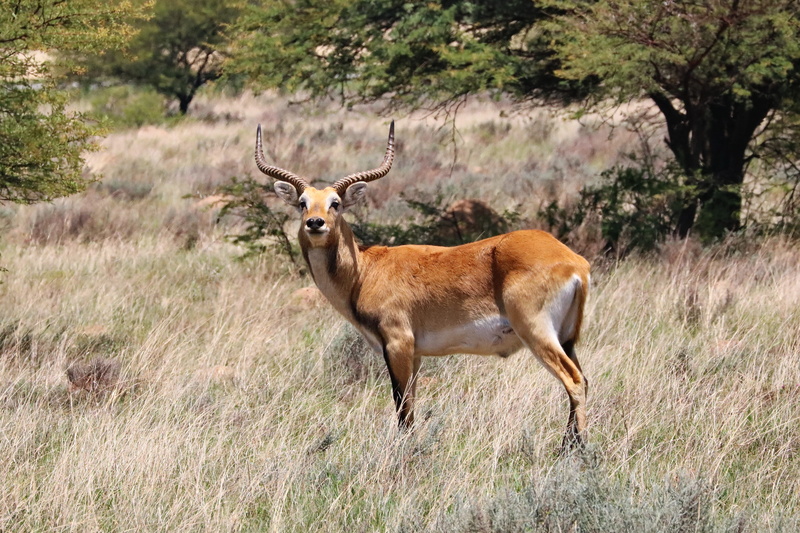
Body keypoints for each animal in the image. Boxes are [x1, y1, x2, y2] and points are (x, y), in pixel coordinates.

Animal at [255, 121, 591, 449]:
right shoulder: (414, 354)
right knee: (583, 380)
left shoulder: (398, 343)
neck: (366, 272)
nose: (315, 223)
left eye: (335, 203)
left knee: (573, 381)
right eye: (303, 203)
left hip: (537, 332)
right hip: (566, 339)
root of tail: (575, 261)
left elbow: (402, 406)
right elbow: (411, 405)